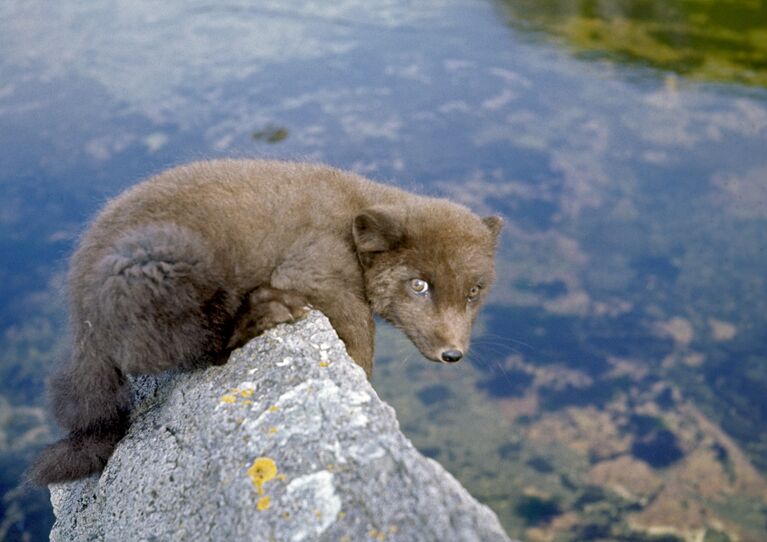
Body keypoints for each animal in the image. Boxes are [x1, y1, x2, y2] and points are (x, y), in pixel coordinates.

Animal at [28, 160, 504, 484]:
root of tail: (82, 320)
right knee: (198, 349)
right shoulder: (312, 271)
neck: (350, 218)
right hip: (169, 262)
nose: (452, 353)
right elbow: (359, 331)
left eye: (474, 291)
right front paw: (364, 384)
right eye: (419, 285)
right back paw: (266, 311)